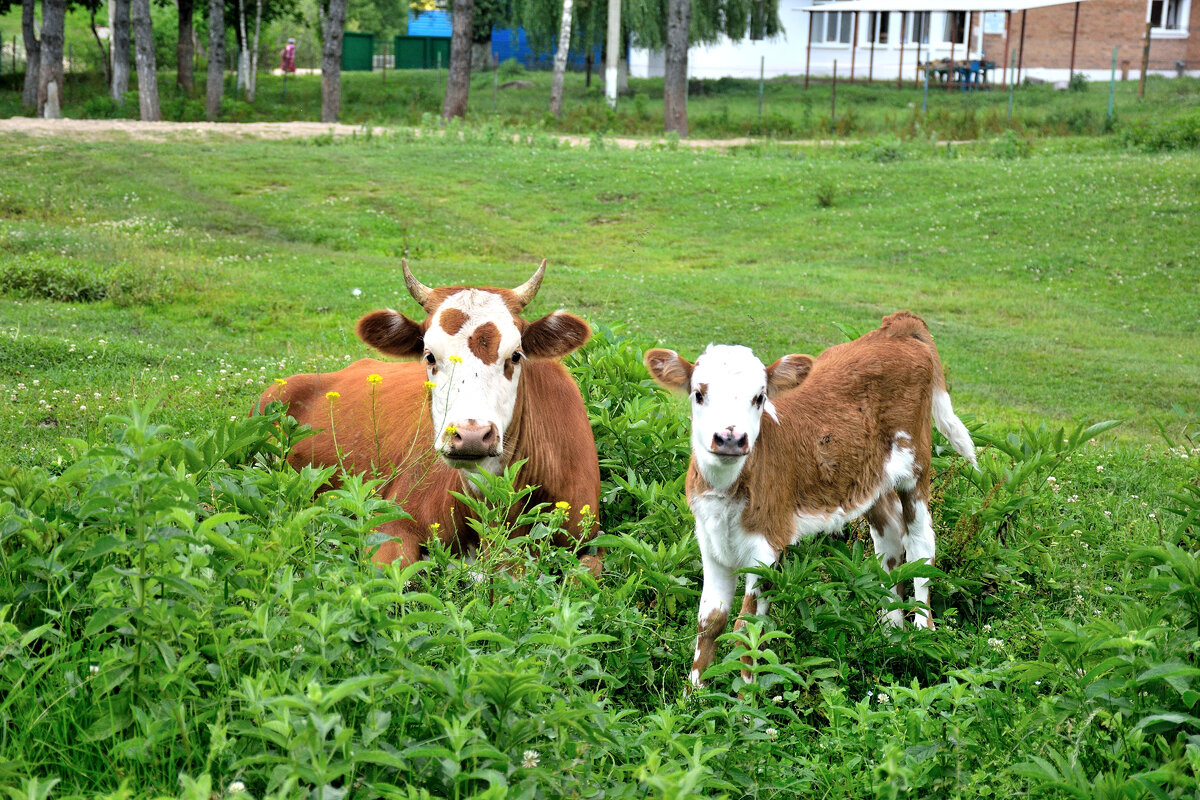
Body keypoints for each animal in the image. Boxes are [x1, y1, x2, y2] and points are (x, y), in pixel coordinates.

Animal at [648, 311, 974, 690]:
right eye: (699, 394)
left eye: (759, 398)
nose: (731, 438)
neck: (728, 491)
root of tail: (896, 327)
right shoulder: (710, 540)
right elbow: (709, 621)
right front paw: (695, 693)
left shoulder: (767, 544)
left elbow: (747, 628)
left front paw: (746, 700)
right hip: (869, 477)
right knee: (890, 538)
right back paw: (890, 631)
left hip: (916, 464)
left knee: (921, 544)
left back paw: (922, 633)